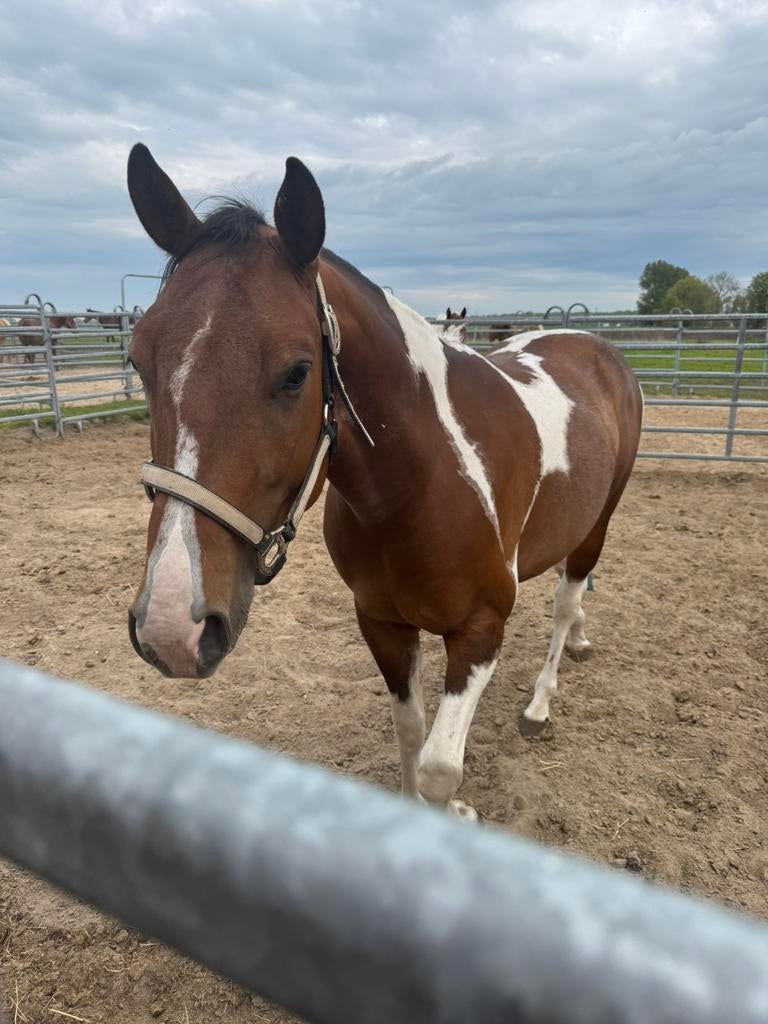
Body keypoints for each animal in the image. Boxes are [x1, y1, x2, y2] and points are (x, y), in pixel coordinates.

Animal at [125, 144, 643, 820]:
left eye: (297, 372)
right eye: (138, 359)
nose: (171, 627)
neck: (419, 488)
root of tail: (593, 345)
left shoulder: (480, 631)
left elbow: (441, 767)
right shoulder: (382, 624)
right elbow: (410, 733)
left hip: (600, 520)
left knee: (565, 599)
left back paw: (541, 699)